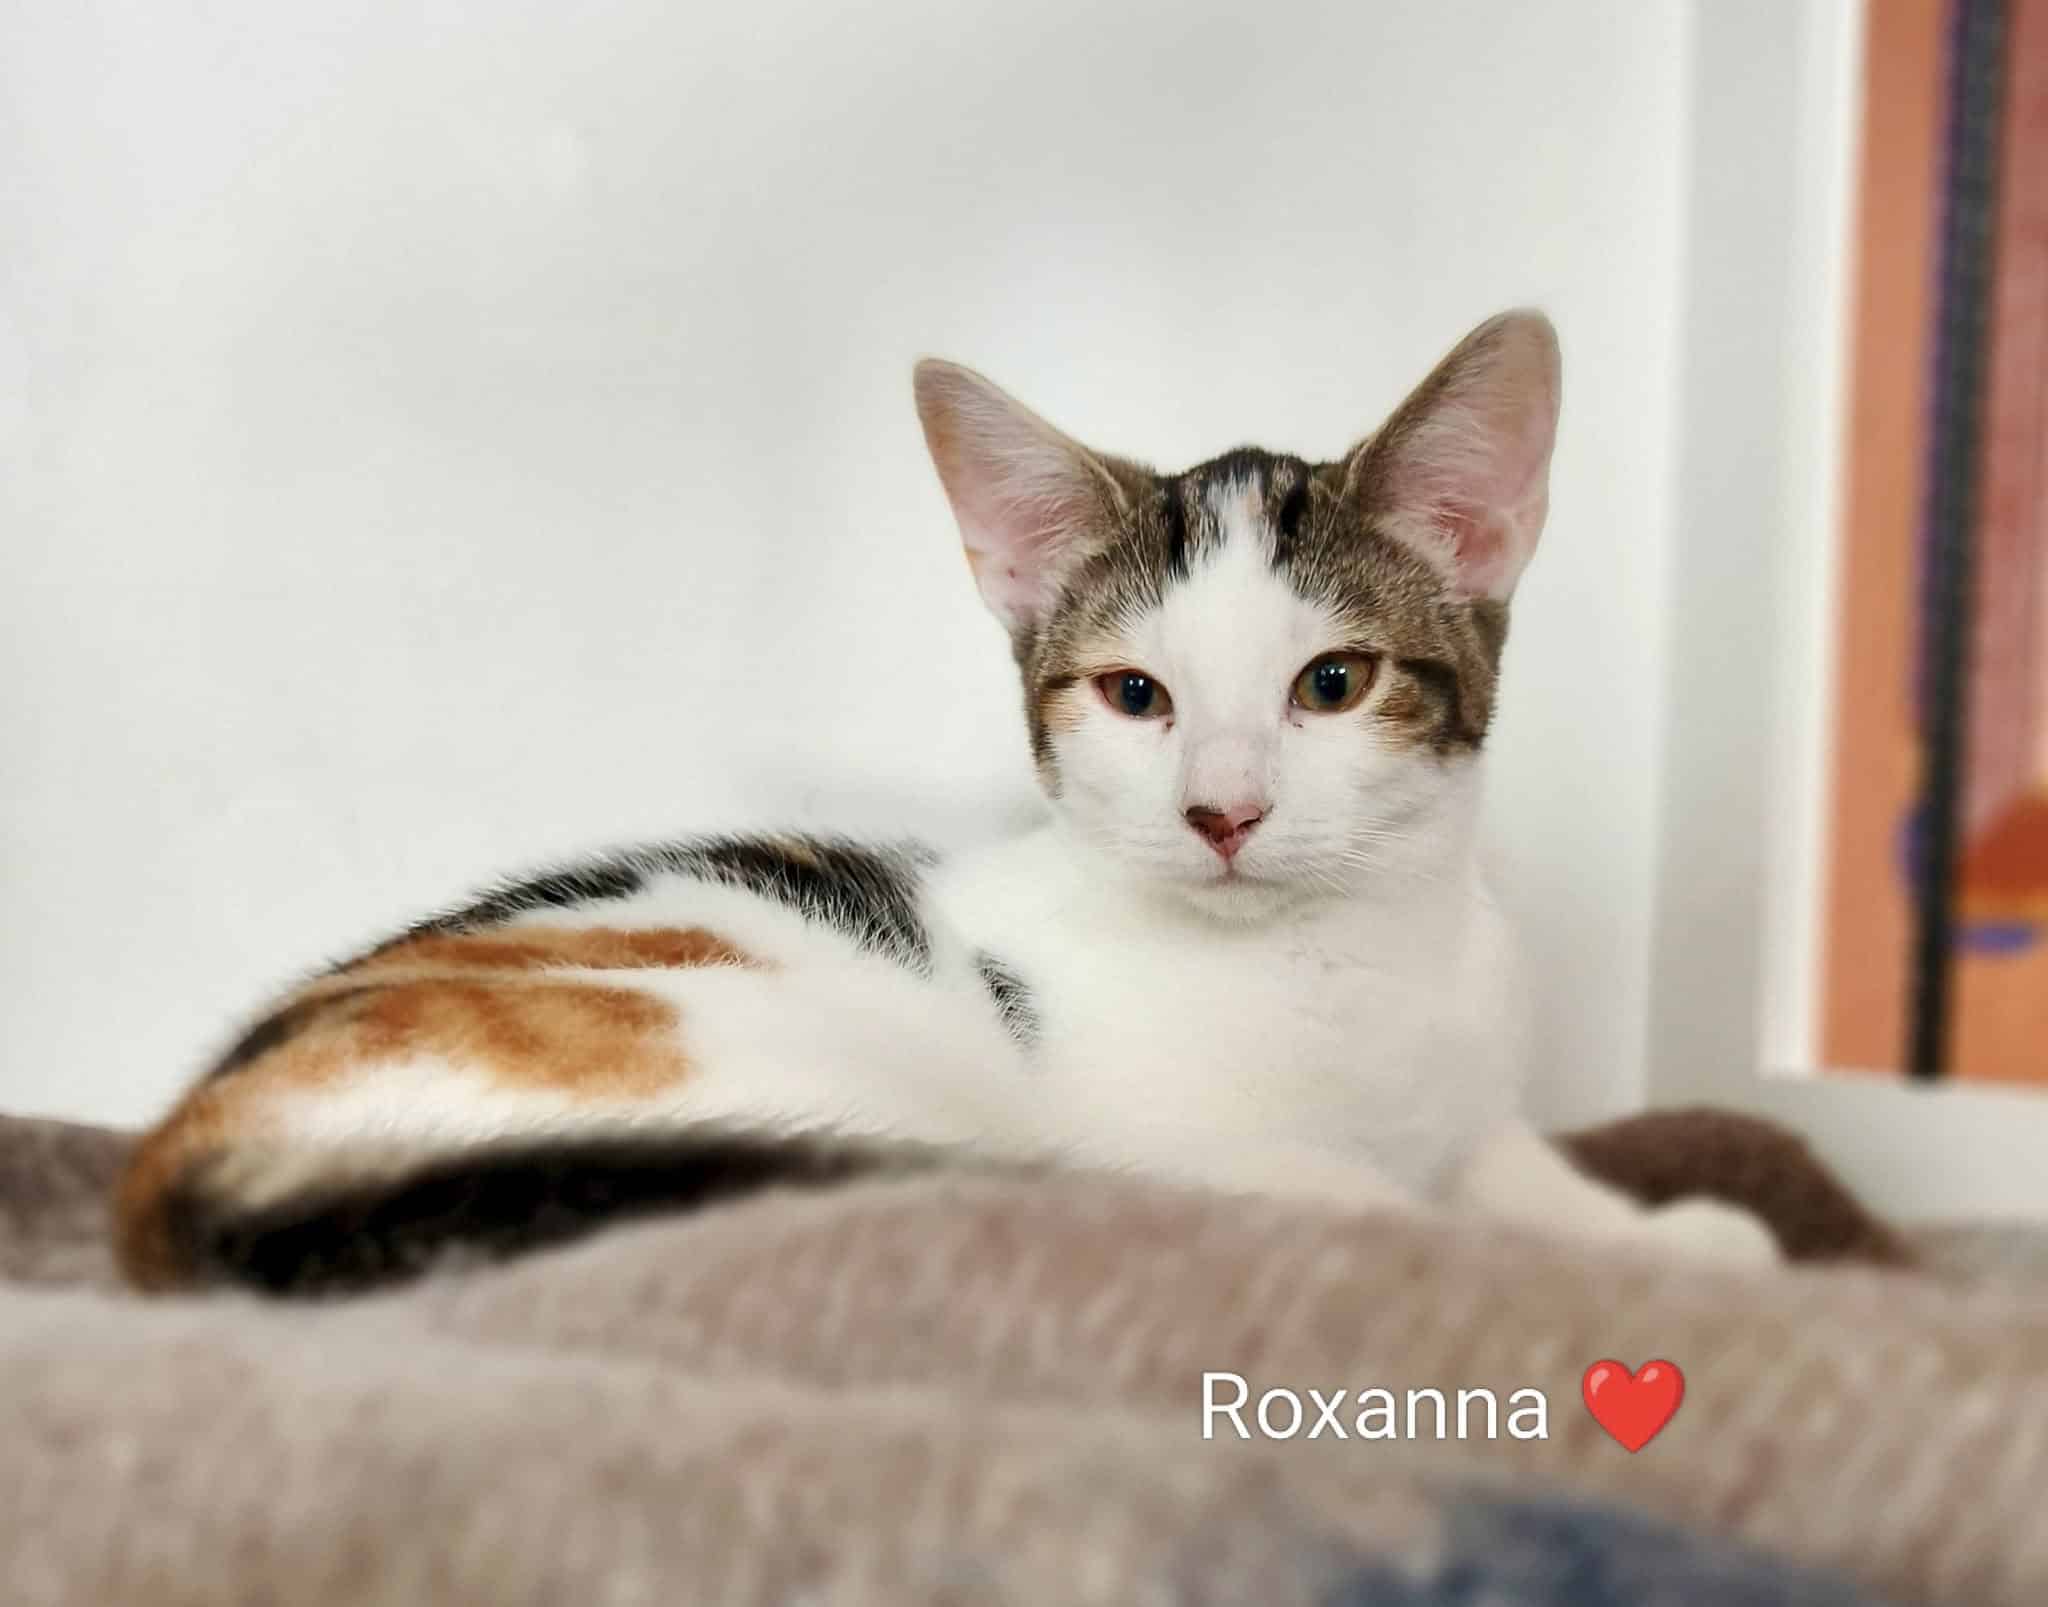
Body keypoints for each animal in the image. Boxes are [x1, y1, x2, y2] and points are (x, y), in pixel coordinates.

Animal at [114, 309, 1778, 1293]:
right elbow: (1375, 1205)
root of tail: (179, 1160)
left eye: (1333, 682)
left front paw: (1670, 1233)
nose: (1223, 812)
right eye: (1135, 695)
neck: (1351, 956)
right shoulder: (1173, 1140)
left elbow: (1499, 1160)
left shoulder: (1465, 1088)